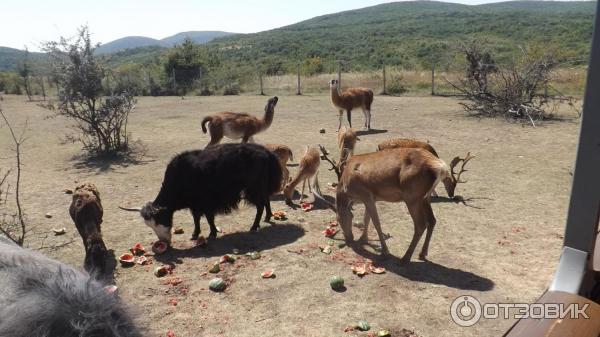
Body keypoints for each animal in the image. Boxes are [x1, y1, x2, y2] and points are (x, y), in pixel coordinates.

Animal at [322, 144, 452, 260]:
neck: (345, 187)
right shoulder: (371, 198)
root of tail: (441, 168)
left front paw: (385, 251)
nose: (348, 238)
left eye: (338, 219)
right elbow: (366, 218)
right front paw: (363, 239)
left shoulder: (366, 194)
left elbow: (376, 223)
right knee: (432, 220)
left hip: (412, 197)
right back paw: (422, 254)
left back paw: (405, 258)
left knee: (420, 224)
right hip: (426, 197)